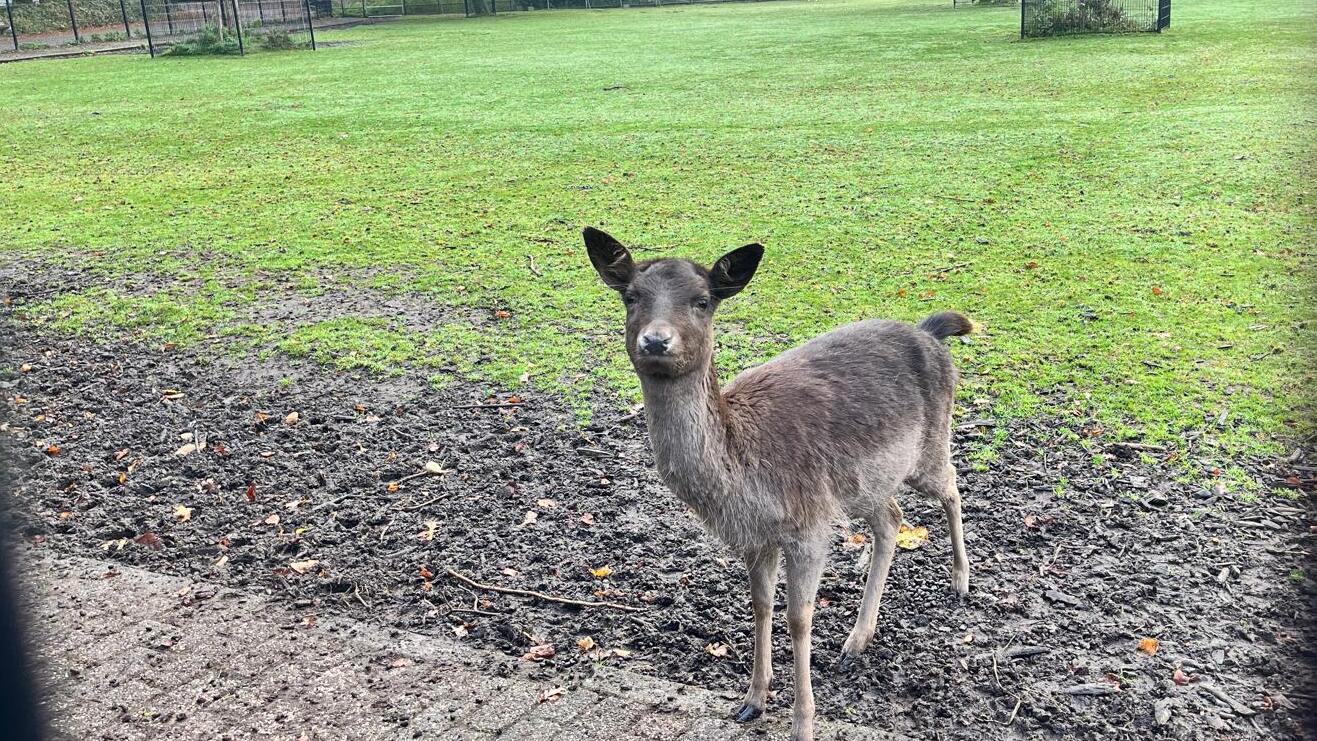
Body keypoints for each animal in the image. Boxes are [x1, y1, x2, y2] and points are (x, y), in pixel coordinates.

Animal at [582, 227, 974, 741]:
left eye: (703, 300)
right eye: (630, 296)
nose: (655, 340)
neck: (744, 482)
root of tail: (931, 331)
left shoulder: (808, 525)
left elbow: (798, 617)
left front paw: (803, 722)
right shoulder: (753, 537)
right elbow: (761, 604)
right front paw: (752, 699)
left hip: (927, 448)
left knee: (951, 487)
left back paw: (960, 582)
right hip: (865, 482)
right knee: (892, 518)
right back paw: (856, 639)